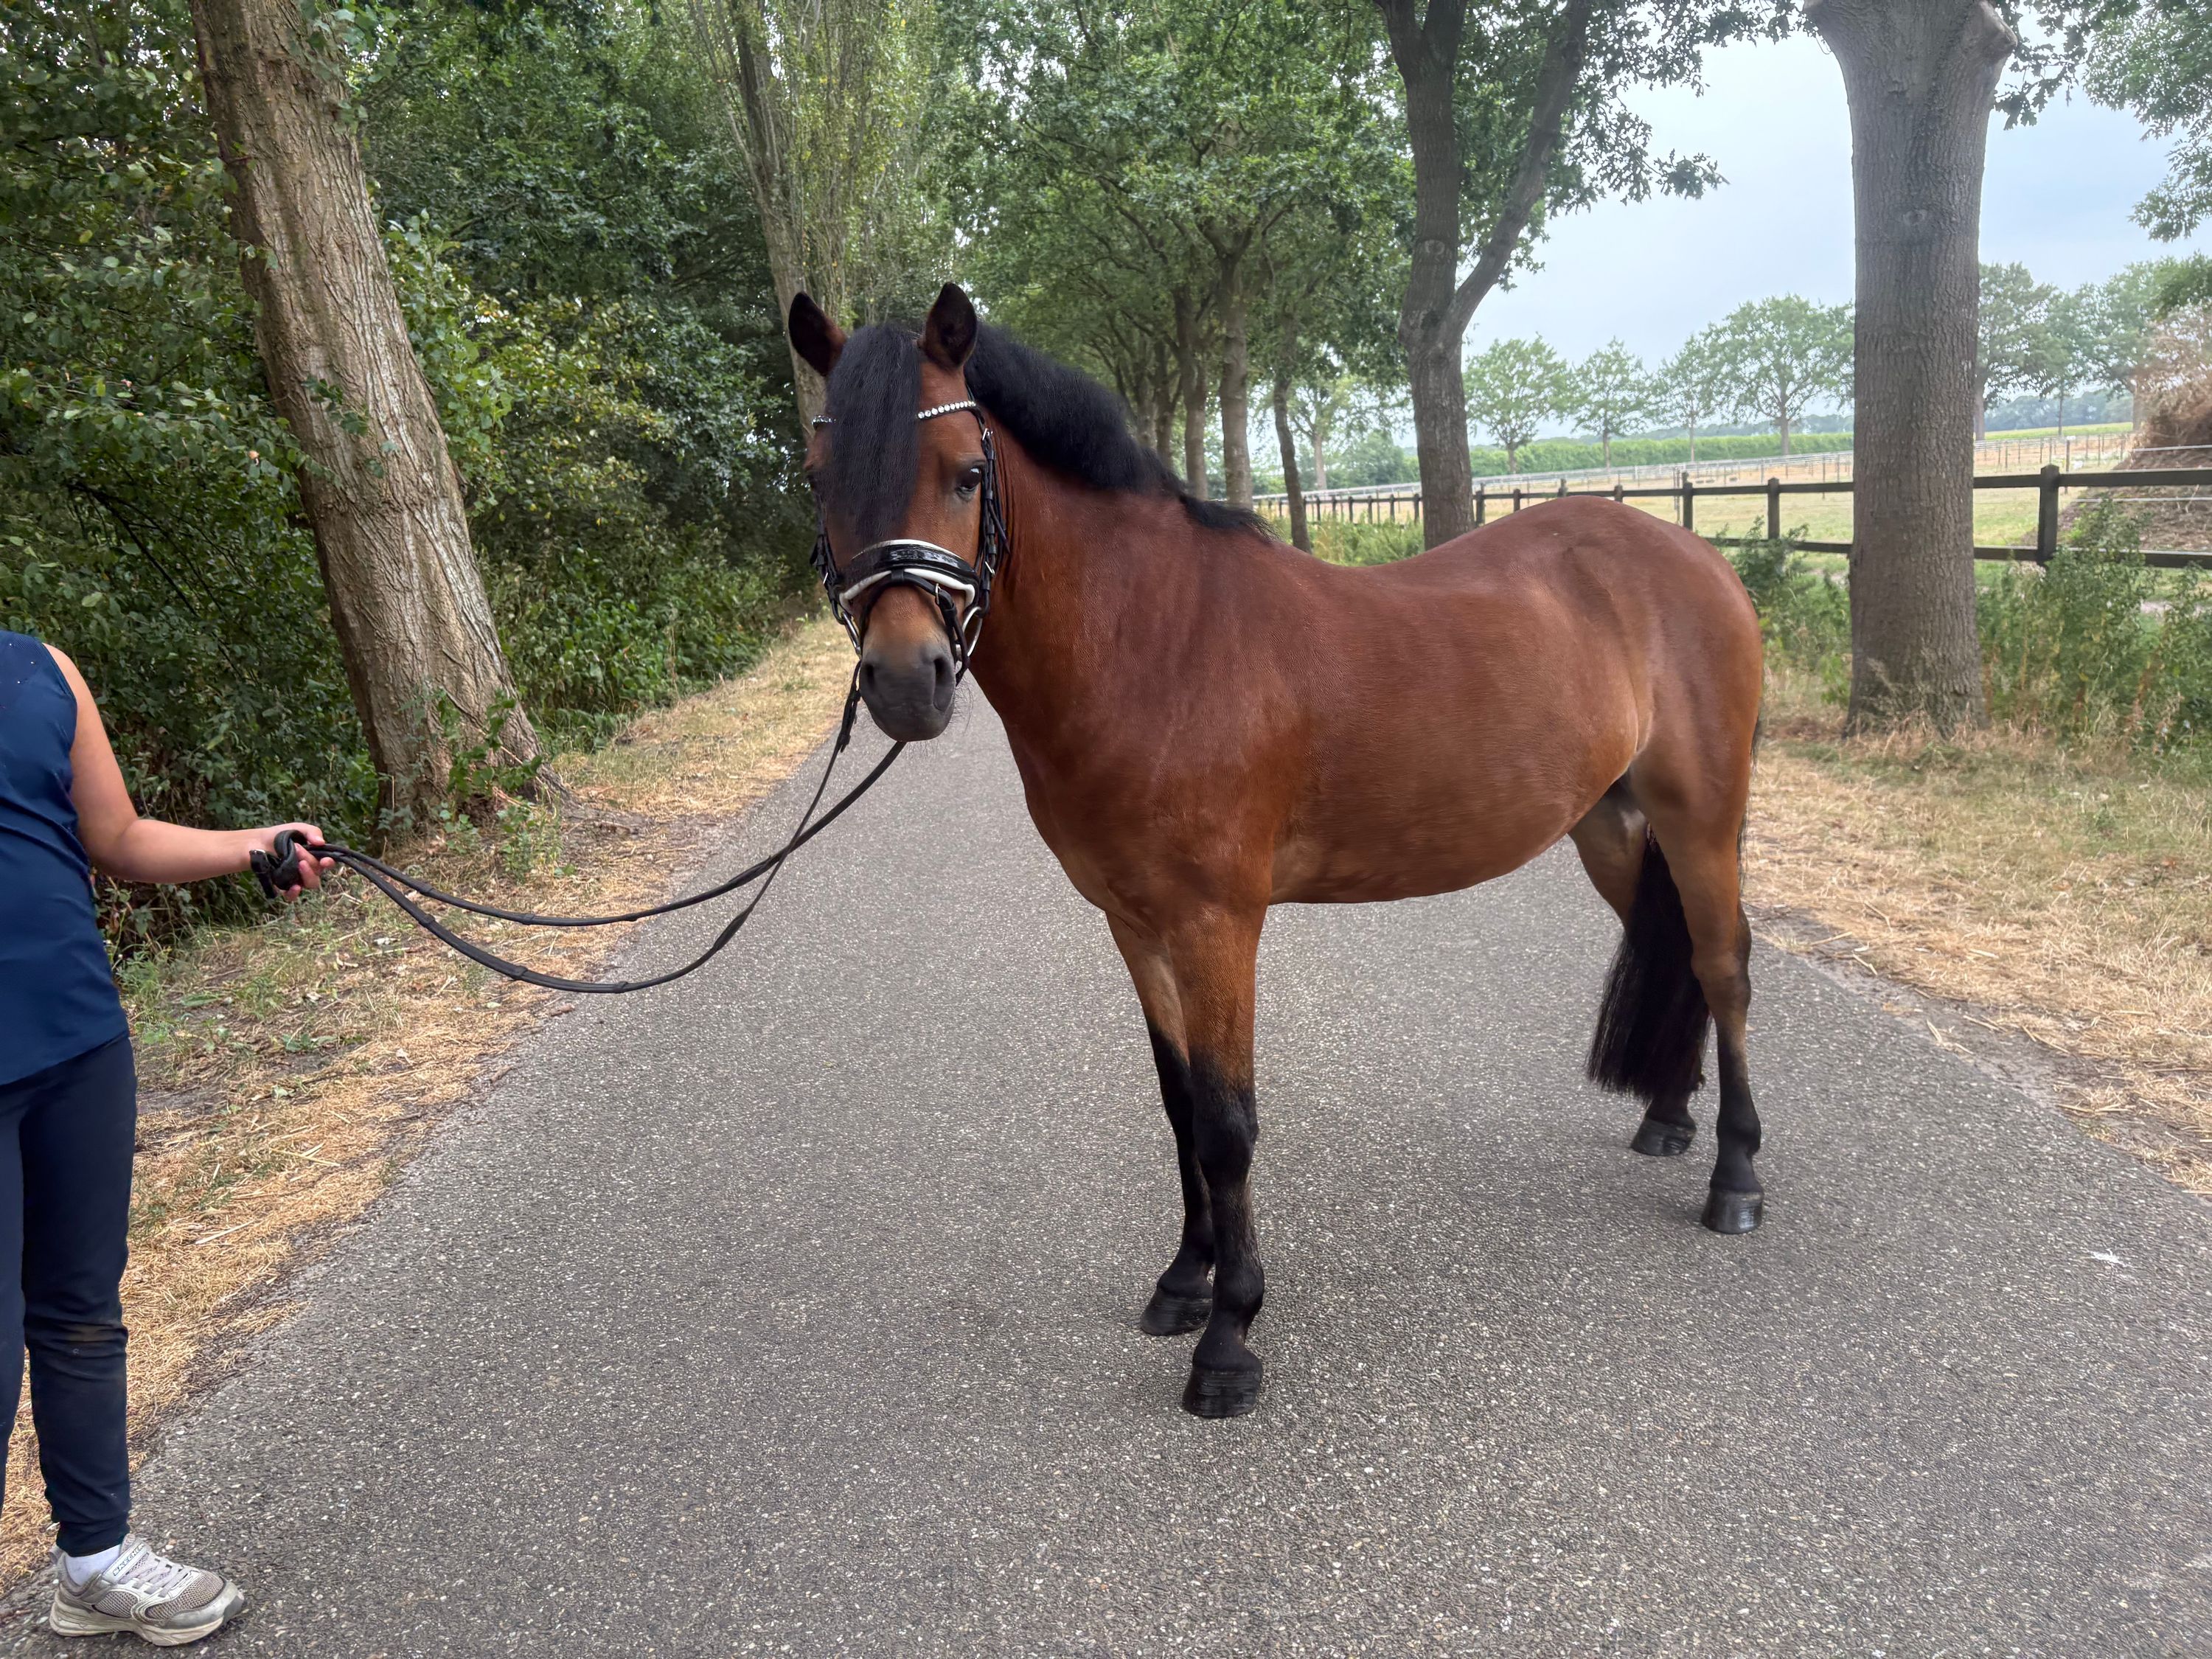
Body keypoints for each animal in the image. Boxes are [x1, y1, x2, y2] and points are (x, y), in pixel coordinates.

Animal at [790, 283, 1766, 1420]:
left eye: (968, 474)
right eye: (819, 479)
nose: (908, 681)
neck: (1156, 646)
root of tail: (1694, 555)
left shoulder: (1217, 926)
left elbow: (1228, 1124)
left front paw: (1229, 1338)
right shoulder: (1134, 924)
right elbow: (1179, 1106)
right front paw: (1183, 1280)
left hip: (1700, 816)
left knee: (1724, 965)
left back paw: (1737, 1179)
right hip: (1610, 827)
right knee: (1677, 950)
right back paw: (1667, 1116)